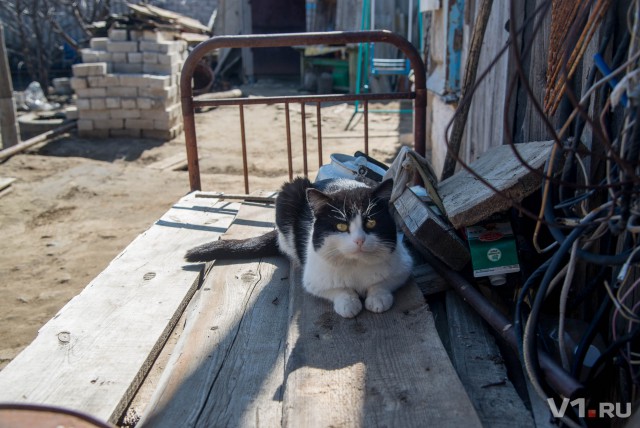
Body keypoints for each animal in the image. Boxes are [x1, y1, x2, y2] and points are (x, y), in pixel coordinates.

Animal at [186, 177, 416, 318]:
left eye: (371, 223)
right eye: (341, 226)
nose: (359, 241)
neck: (356, 265)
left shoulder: (403, 264)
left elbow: (383, 282)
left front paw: (378, 298)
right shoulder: (314, 278)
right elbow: (337, 289)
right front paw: (348, 303)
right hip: (287, 194)